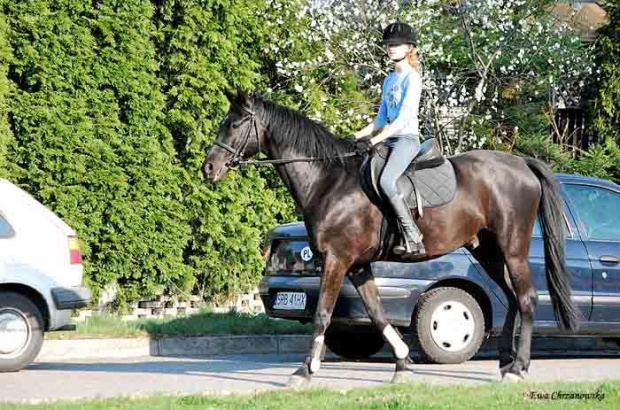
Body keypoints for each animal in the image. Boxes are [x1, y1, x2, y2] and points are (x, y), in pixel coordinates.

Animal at [201, 90, 580, 388]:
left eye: (234, 124)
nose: (208, 168)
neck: (330, 181)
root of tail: (522, 164)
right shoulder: (358, 266)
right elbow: (377, 312)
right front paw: (402, 363)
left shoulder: (336, 260)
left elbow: (323, 313)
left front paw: (305, 371)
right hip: (488, 250)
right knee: (513, 297)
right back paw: (505, 363)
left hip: (512, 248)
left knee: (526, 298)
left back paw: (518, 367)